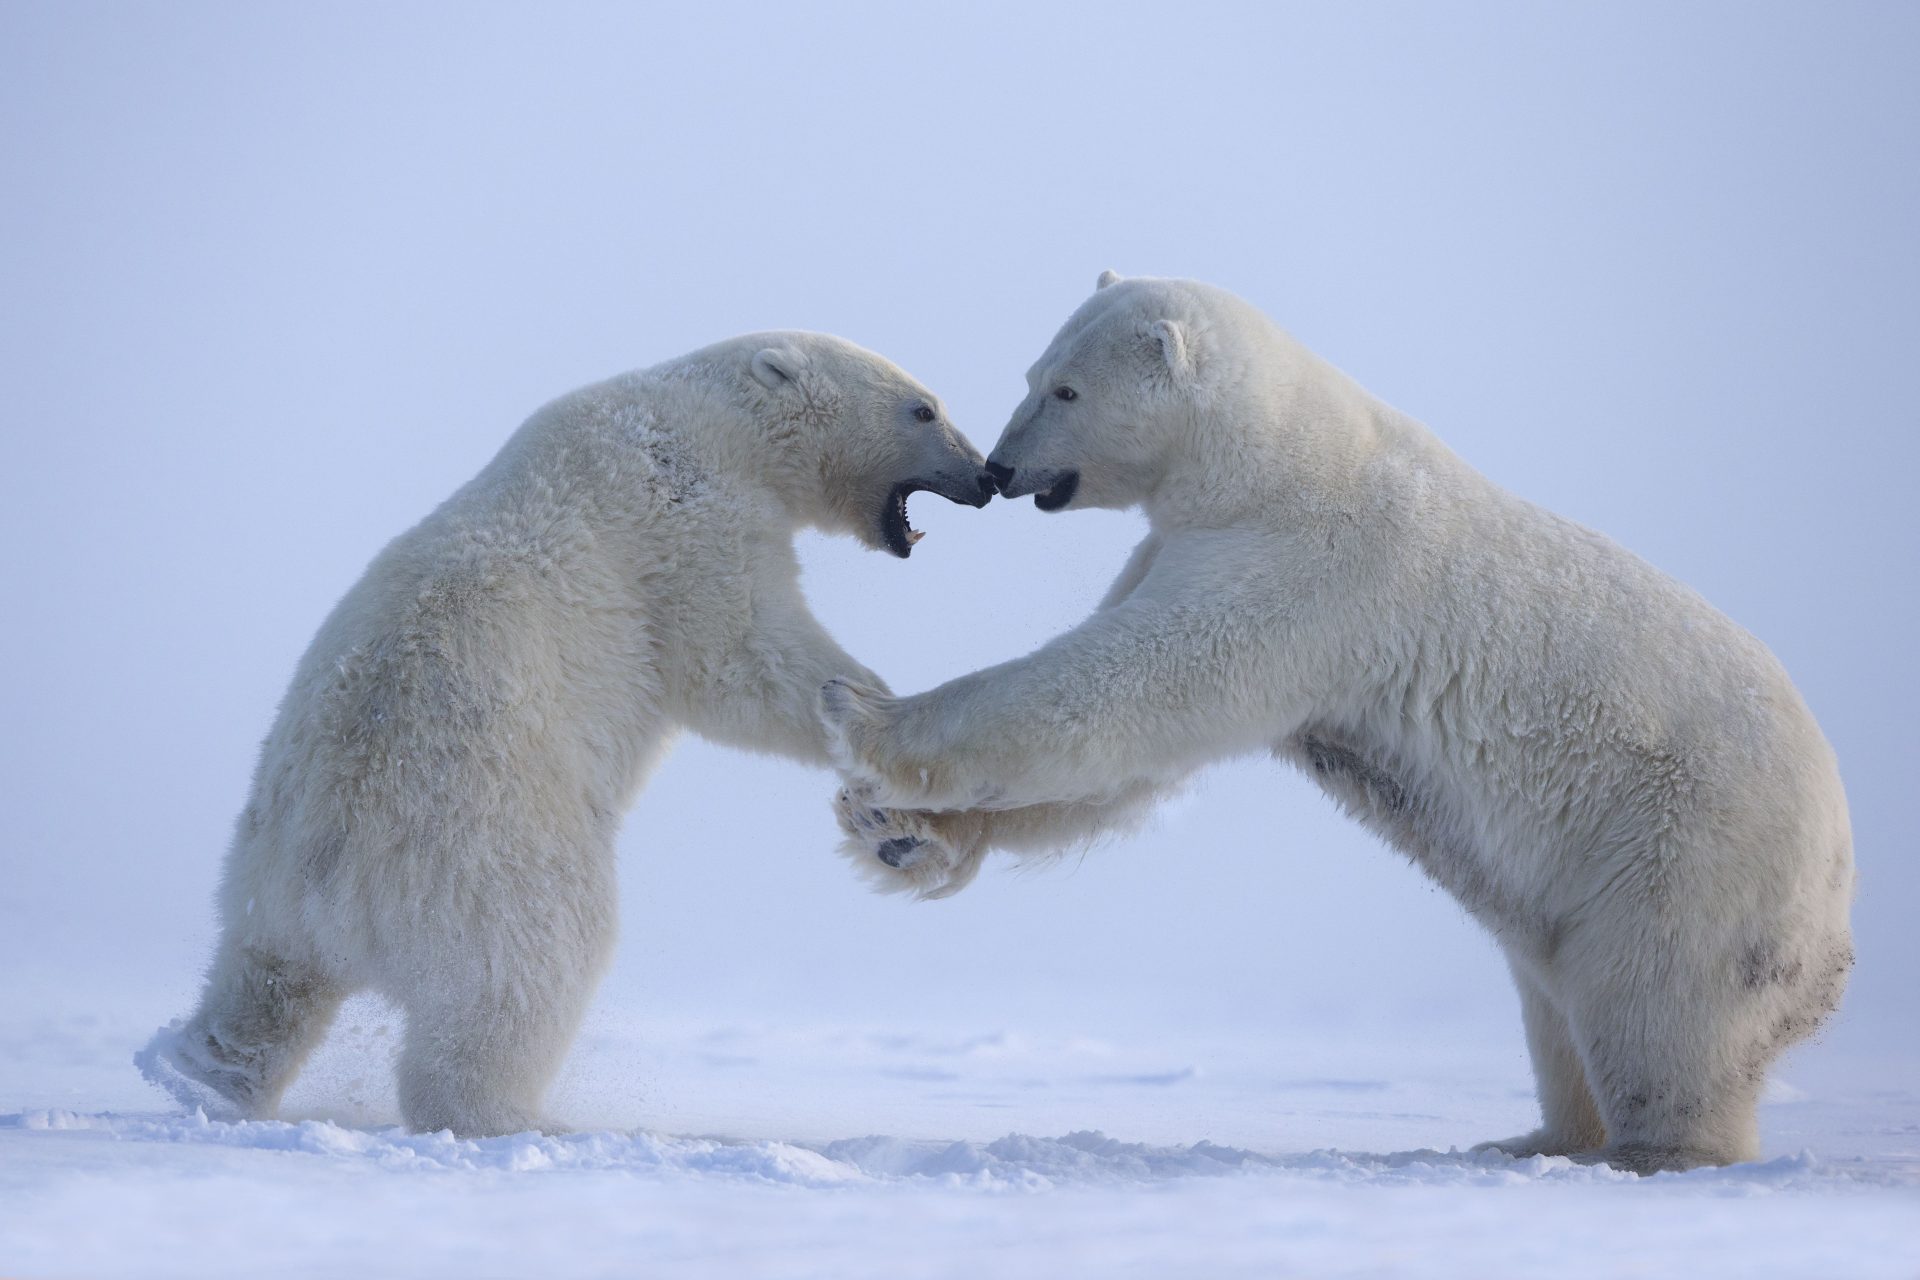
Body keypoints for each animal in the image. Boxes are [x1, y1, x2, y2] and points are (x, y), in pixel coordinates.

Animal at [137, 335, 998, 1136]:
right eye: (923, 409)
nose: (986, 476)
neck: (717, 419)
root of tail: (335, 879)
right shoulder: (689, 514)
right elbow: (736, 659)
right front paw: (871, 711)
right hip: (486, 858)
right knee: (525, 976)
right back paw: (515, 1115)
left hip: (263, 885)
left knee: (262, 992)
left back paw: (200, 1077)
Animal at [829, 276, 1858, 1174]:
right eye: (1032, 372)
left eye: (1066, 388)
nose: (1001, 468)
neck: (1281, 460)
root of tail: (1839, 909)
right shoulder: (1197, 552)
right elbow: (1128, 772)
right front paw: (897, 836)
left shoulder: (1305, 571)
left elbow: (1130, 694)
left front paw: (866, 719)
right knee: (1555, 1004)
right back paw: (1535, 1136)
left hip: (1685, 846)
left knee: (1657, 1002)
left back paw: (1652, 1150)